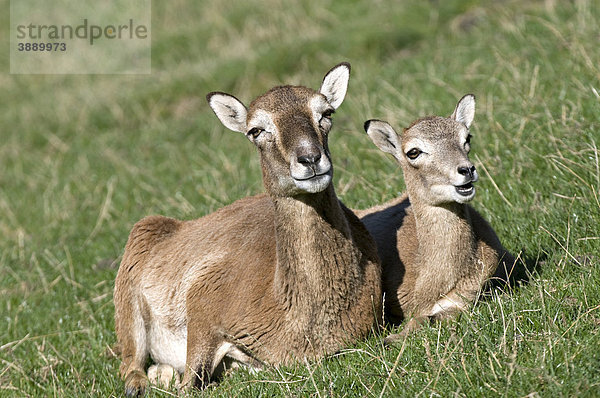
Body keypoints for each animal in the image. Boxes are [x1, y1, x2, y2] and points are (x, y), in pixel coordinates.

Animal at [113, 63, 380, 394]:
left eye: (326, 113)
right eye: (256, 130)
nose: (310, 159)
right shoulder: (202, 304)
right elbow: (191, 383)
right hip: (129, 303)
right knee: (130, 362)